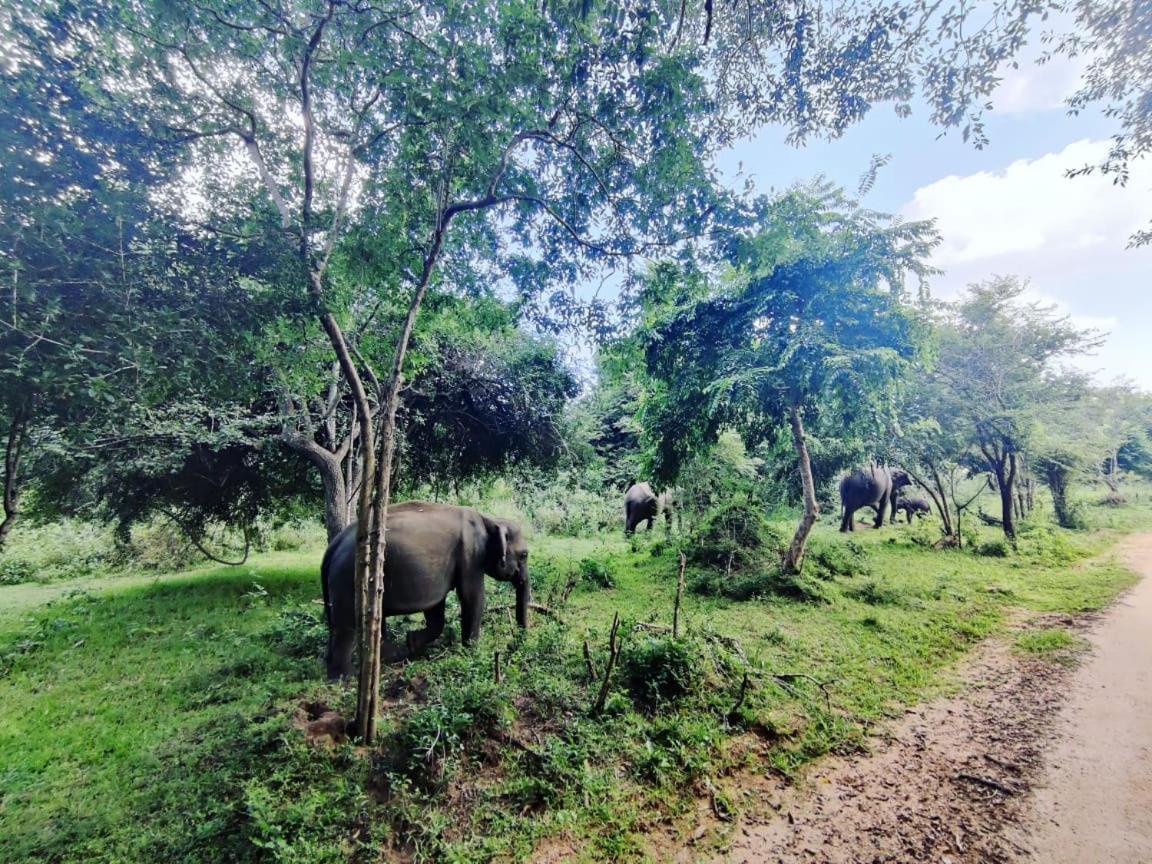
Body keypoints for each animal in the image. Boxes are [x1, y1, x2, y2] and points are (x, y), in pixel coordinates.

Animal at [317, 499, 527, 681]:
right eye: (524, 554)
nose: (514, 644)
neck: (489, 519)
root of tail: (333, 546)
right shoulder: (472, 555)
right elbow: (472, 597)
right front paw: (472, 653)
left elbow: (436, 607)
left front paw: (412, 642)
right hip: (348, 579)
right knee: (347, 627)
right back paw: (344, 678)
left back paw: (388, 657)